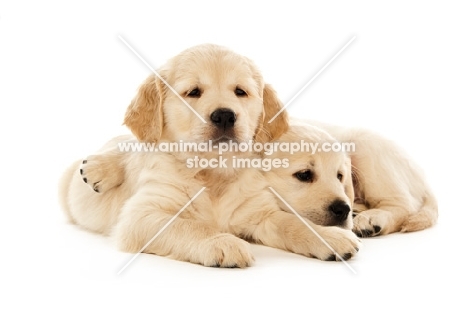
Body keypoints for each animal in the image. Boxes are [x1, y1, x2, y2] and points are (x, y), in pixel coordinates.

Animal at [60, 44, 360, 268]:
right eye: (193, 92)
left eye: (240, 91)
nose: (225, 115)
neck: (214, 171)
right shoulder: (141, 216)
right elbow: (189, 227)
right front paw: (222, 241)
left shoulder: (259, 214)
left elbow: (292, 222)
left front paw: (328, 236)